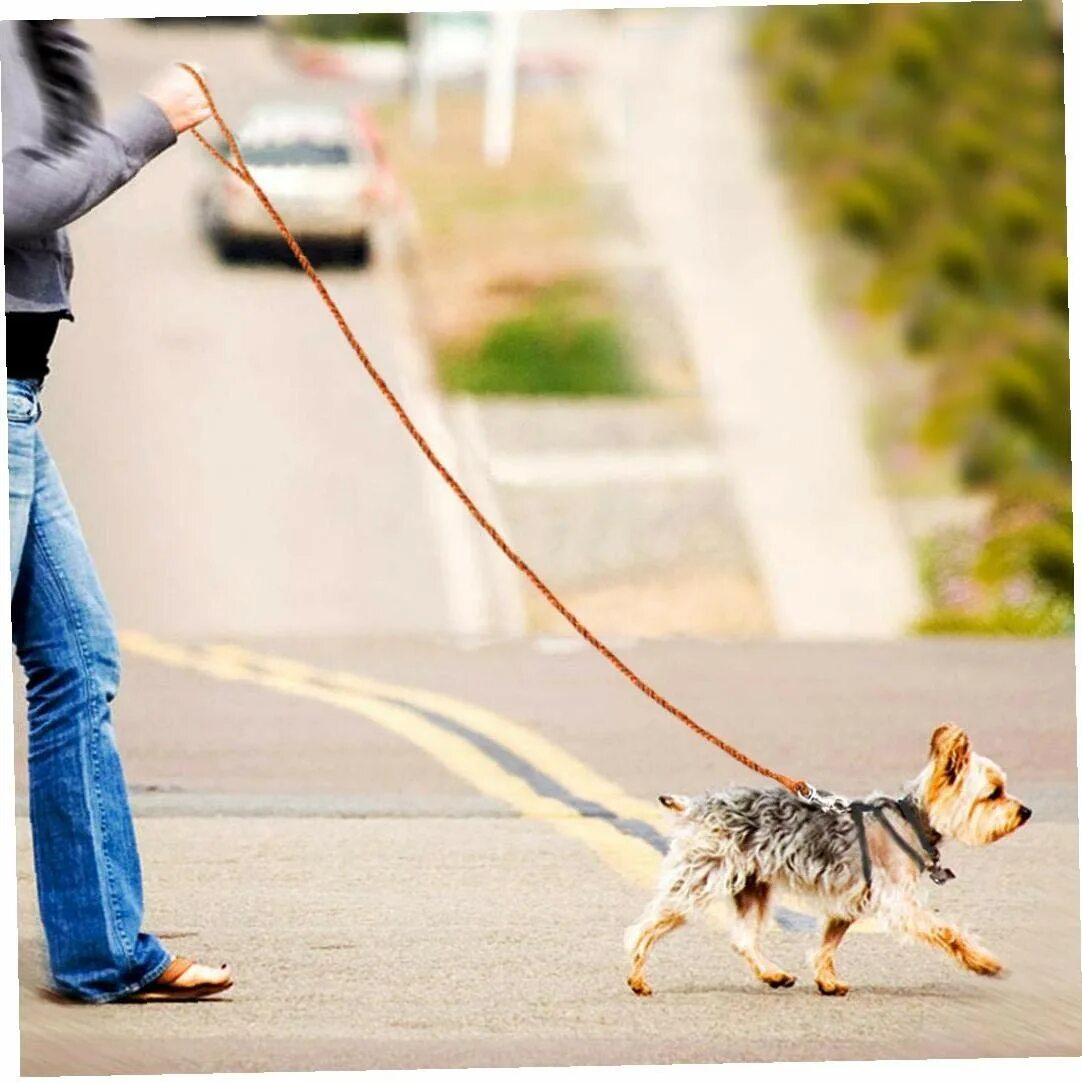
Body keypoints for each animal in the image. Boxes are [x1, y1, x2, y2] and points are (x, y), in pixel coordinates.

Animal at [628, 727, 1031, 996]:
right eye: (994, 793)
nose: (1026, 812)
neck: (912, 818)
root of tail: (696, 805)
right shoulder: (900, 904)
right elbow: (949, 933)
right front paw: (983, 962)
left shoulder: (848, 902)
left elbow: (827, 945)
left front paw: (827, 980)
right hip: (699, 880)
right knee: (644, 926)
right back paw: (637, 977)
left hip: (753, 886)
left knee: (743, 939)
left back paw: (773, 974)